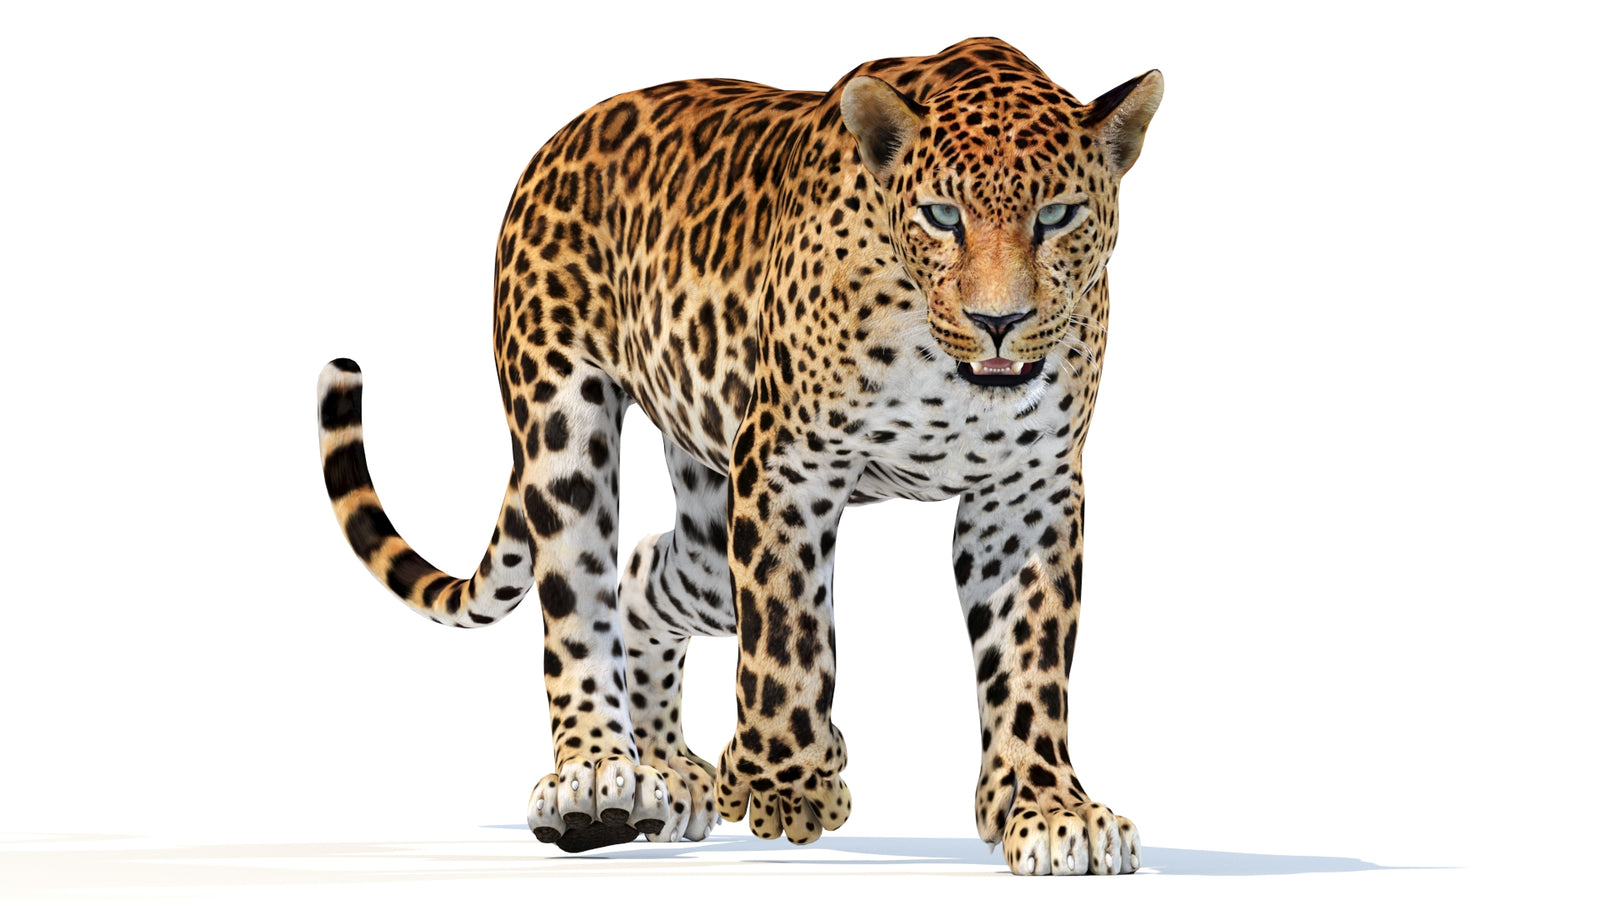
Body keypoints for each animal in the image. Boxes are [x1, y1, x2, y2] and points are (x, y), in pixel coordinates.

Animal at [315, 37, 1161, 876]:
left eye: (1057, 215)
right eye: (942, 216)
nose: (999, 321)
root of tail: (559, 141)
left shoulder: (1027, 490)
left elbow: (1030, 656)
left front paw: (1048, 807)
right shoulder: (788, 461)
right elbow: (787, 635)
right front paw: (791, 785)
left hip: (709, 526)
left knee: (643, 574)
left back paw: (664, 767)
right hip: (563, 425)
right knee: (582, 602)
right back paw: (597, 779)